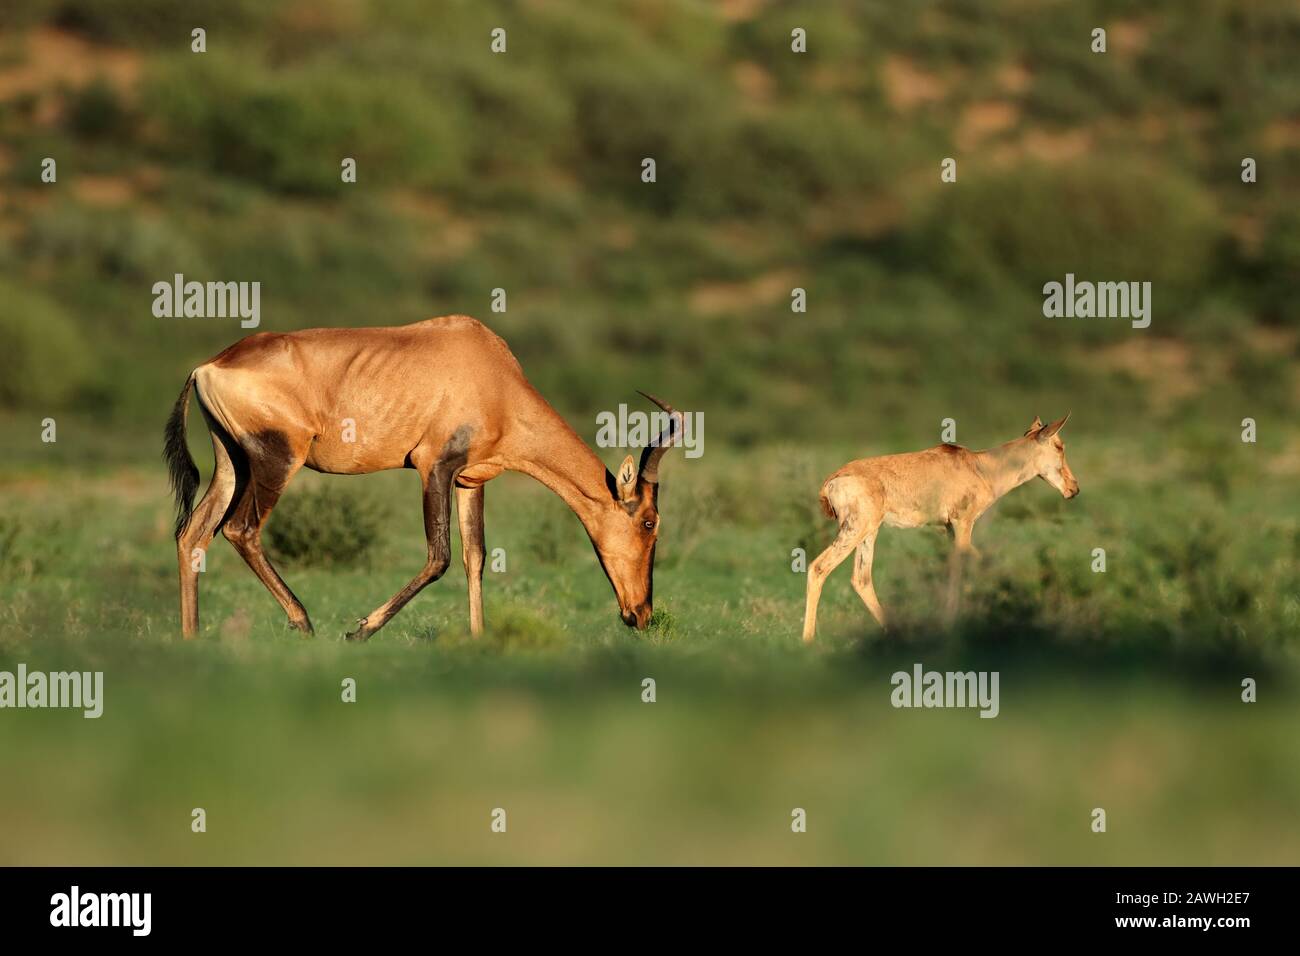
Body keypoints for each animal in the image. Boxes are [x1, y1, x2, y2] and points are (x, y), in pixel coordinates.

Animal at [163, 315, 685, 640]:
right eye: (650, 522)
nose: (641, 614)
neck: (492, 372)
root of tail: (208, 366)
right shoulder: (435, 466)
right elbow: (440, 557)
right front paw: (359, 631)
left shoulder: (470, 480)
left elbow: (475, 557)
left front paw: (478, 638)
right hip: (276, 459)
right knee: (240, 529)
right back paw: (305, 623)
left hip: (232, 462)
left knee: (193, 534)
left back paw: (192, 639)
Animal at [801, 415, 1078, 641]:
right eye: (1059, 445)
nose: (1073, 489)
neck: (980, 466)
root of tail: (831, 481)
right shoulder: (963, 522)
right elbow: (968, 563)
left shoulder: (948, 529)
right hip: (856, 529)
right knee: (819, 567)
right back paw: (808, 642)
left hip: (869, 532)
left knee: (861, 578)